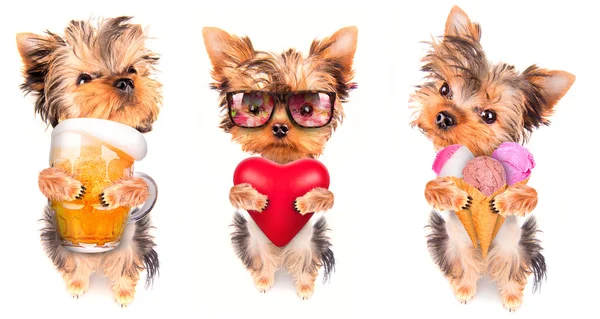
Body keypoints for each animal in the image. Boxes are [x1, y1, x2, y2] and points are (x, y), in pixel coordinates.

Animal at [16, 16, 162, 308]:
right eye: (83, 79)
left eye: (132, 69)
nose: (125, 81)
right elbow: (43, 176)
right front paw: (68, 186)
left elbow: (142, 184)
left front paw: (116, 193)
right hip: (56, 236)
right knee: (72, 262)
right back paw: (76, 284)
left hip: (133, 239)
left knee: (126, 263)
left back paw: (124, 293)